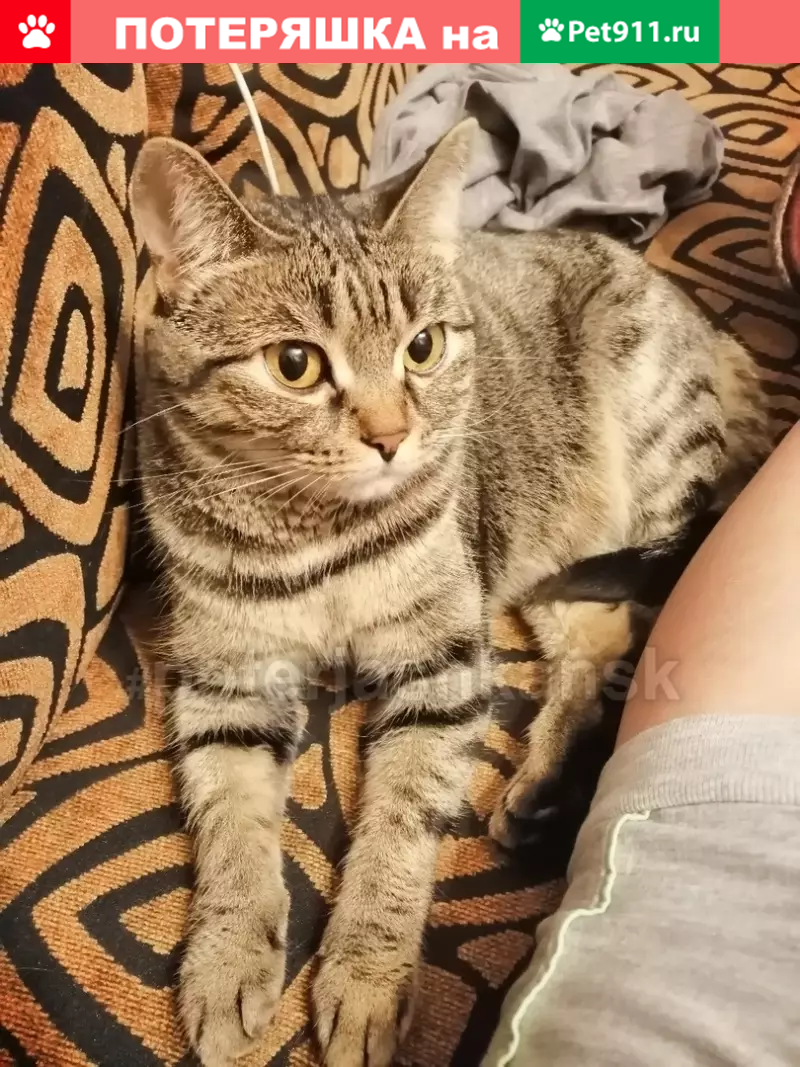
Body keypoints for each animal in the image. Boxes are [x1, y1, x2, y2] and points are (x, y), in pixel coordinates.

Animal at [129, 119, 769, 1067]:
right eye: (295, 364)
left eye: (423, 347)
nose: (394, 436)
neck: (318, 536)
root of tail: (699, 313)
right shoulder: (228, 679)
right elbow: (230, 827)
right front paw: (228, 956)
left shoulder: (442, 662)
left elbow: (397, 832)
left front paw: (366, 978)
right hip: (540, 555)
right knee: (597, 641)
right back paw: (543, 789)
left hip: (641, 480)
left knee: (641, 618)